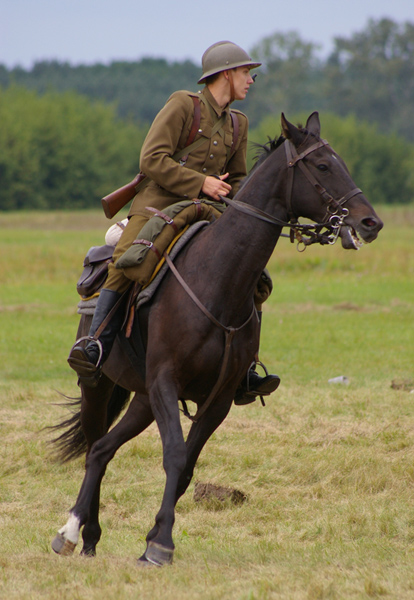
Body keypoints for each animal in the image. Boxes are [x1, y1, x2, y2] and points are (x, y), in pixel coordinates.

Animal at [50, 113, 384, 568]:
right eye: (322, 166)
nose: (370, 223)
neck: (217, 279)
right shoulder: (165, 383)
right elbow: (174, 455)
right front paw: (161, 545)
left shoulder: (217, 398)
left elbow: (187, 466)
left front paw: (155, 537)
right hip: (97, 386)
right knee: (92, 447)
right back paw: (71, 531)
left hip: (142, 400)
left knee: (102, 449)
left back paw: (89, 536)